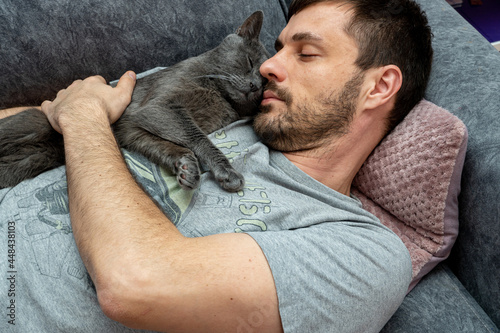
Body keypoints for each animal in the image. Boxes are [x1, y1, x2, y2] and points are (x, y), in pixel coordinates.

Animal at [0, 10, 270, 191]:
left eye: (265, 82)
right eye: (248, 62)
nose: (255, 85)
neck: (220, 95)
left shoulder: (133, 131)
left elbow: (165, 146)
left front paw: (186, 167)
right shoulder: (159, 106)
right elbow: (197, 137)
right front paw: (227, 172)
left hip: (28, 162)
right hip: (29, 126)